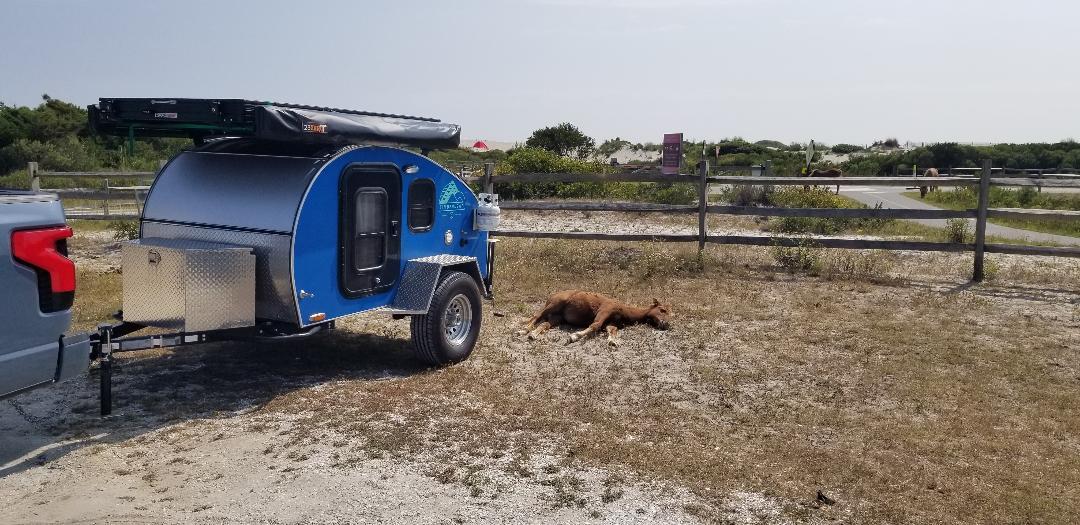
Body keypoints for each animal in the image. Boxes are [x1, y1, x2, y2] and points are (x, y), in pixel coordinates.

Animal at [520, 289, 665, 345]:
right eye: (662, 310)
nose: (664, 324)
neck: (625, 310)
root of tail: (553, 295)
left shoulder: (610, 322)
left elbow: (612, 329)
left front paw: (612, 341)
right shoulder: (605, 310)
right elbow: (595, 325)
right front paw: (573, 337)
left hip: (557, 317)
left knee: (544, 324)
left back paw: (532, 334)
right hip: (555, 304)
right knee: (537, 315)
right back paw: (524, 330)